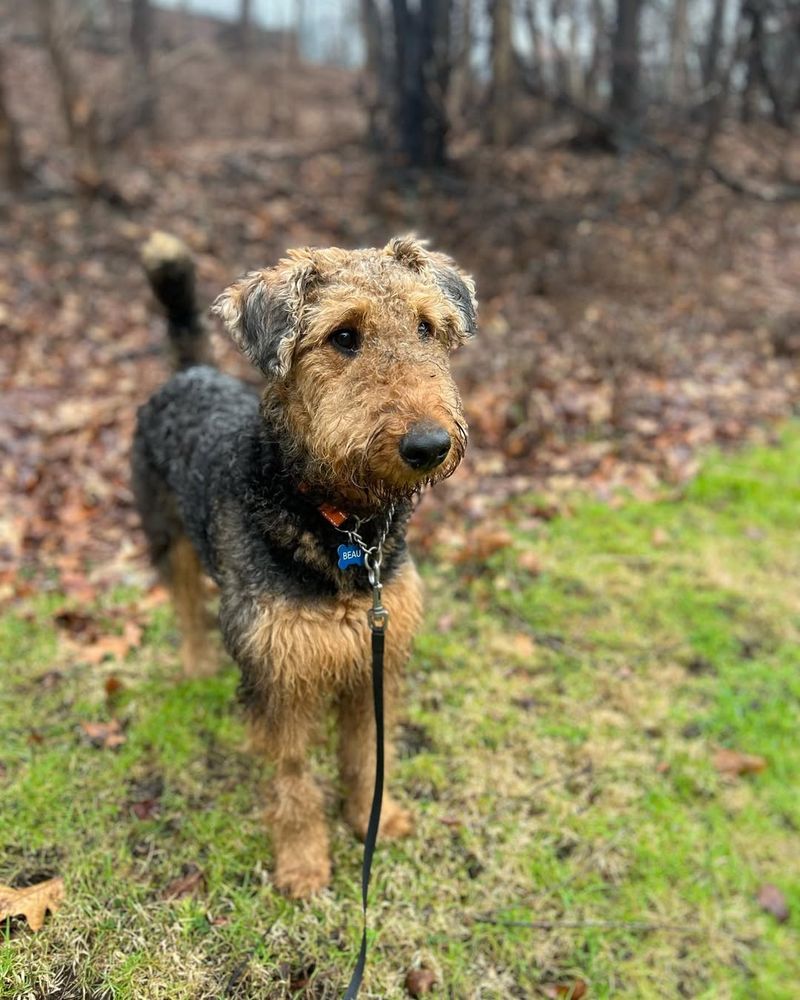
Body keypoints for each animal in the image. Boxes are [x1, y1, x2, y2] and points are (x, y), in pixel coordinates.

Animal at [134, 234, 478, 900]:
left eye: (426, 326)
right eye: (344, 336)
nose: (428, 446)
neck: (346, 530)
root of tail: (192, 371)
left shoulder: (374, 658)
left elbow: (366, 756)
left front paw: (374, 819)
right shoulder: (279, 675)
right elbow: (292, 780)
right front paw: (302, 865)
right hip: (167, 535)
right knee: (186, 606)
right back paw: (196, 666)